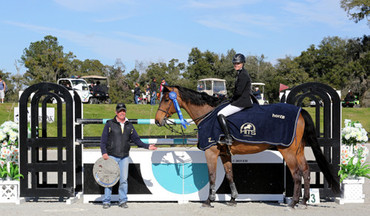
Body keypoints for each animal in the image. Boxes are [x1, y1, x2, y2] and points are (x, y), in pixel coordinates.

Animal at [155, 85, 340, 208]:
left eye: (166, 99)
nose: (157, 120)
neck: (208, 114)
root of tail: (300, 111)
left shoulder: (211, 152)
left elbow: (212, 176)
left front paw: (209, 201)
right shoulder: (225, 154)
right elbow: (229, 175)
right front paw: (232, 199)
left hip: (288, 150)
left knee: (296, 173)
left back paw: (293, 203)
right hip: (298, 150)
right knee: (306, 171)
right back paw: (305, 201)